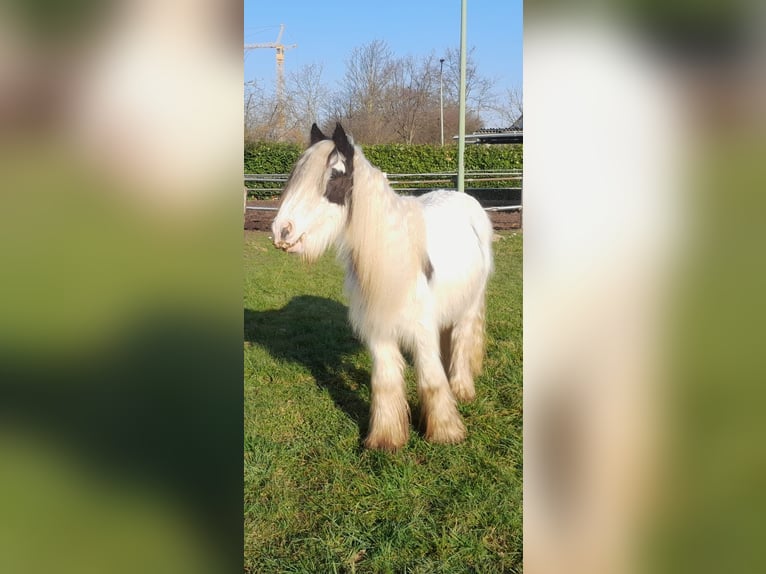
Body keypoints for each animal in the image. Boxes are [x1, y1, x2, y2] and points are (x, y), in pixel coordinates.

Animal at [272, 124, 496, 452]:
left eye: (335, 176)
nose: (281, 231)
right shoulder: (379, 331)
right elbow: (385, 382)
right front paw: (386, 439)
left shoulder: (422, 330)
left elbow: (431, 380)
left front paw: (445, 433)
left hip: (470, 305)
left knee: (461, 343)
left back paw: (462, 390)